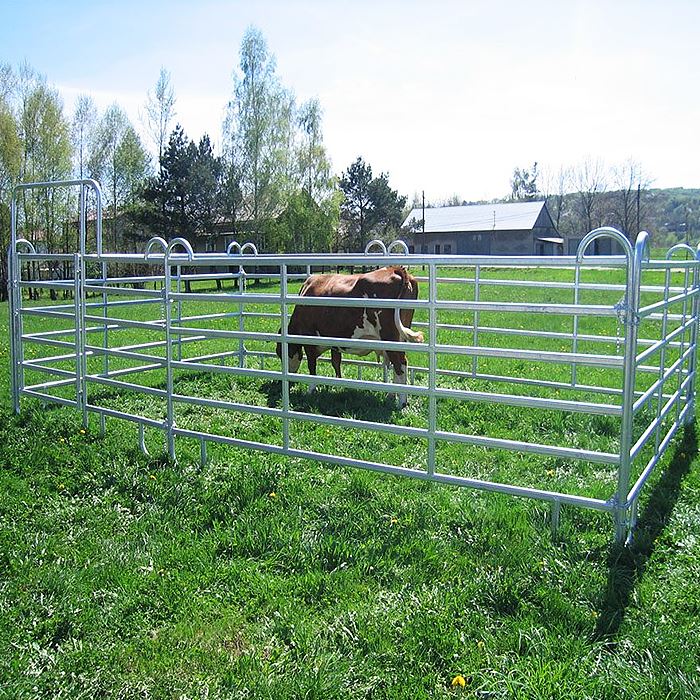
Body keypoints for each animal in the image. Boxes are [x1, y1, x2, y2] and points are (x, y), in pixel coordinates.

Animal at [276, 265, 424, 407]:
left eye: (280, 352)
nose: (288, 377)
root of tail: (394, 269)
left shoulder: (309, 340)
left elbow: (312, 366)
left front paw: (311, 390)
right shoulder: (334, 342)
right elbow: (336, 362)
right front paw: (338, 383)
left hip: (390, 339)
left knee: (400, 365)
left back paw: (401, 402)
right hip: (399, 338)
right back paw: (391, 396)